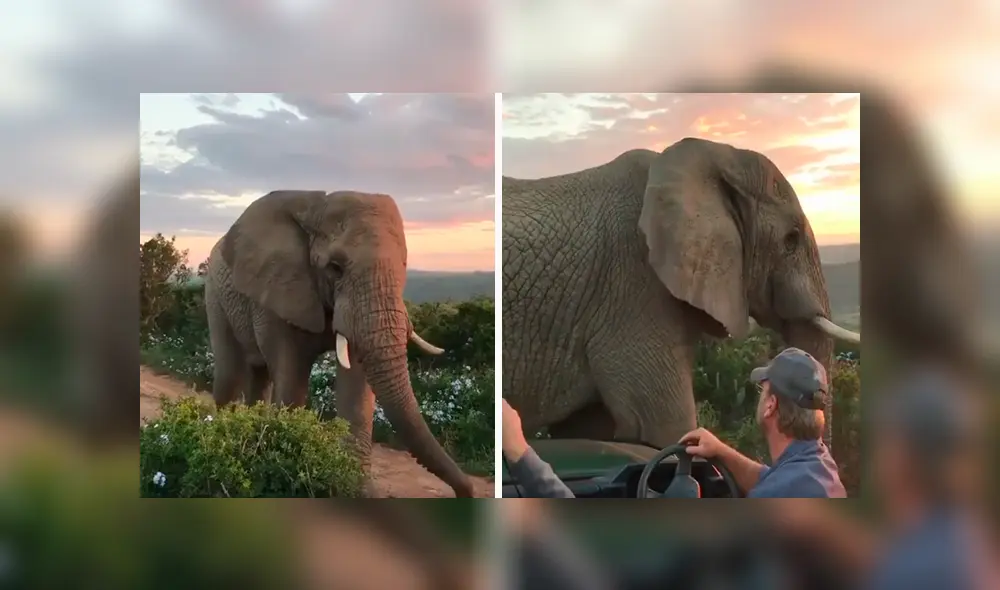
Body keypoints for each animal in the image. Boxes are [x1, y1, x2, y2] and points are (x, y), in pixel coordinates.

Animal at [204, 190, 476, 498]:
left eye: (405, 264)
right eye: (335, 267)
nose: (464, 493)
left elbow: (356, 389)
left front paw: (357, 490)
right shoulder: (277, 289)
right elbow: (291, 378)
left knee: (258, 375)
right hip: (214, 294)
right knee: (230, 372)